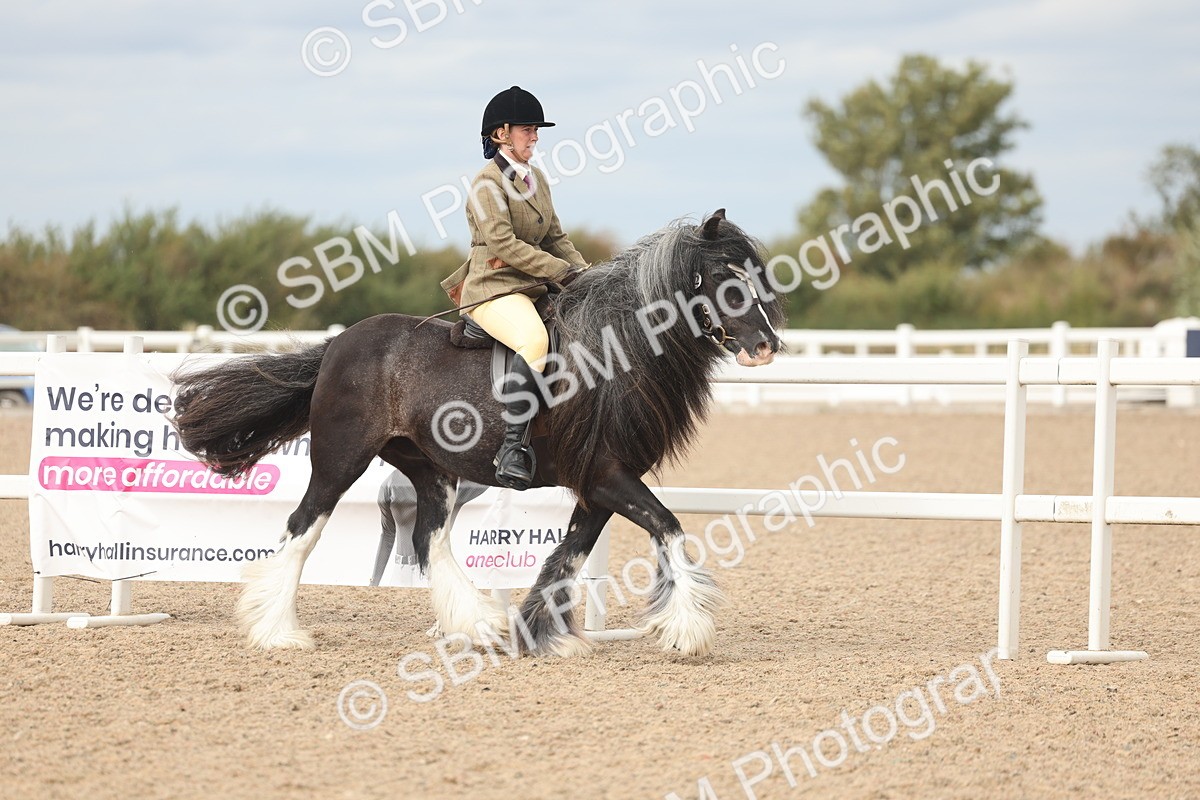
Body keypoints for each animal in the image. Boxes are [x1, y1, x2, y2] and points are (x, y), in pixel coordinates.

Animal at [171, 209, 785, 658]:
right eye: (724, 279)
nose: (767, 346)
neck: (614, 350)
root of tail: (339, 345)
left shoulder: (598, 486)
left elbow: (568, 556)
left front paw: (539, 635)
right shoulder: (608, 477)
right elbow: (669, 527)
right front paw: (687, 631)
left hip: (429, 468)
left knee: (431, 541)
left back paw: (477, 626)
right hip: (340, 459)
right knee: (303, 528)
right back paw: (279, 632)